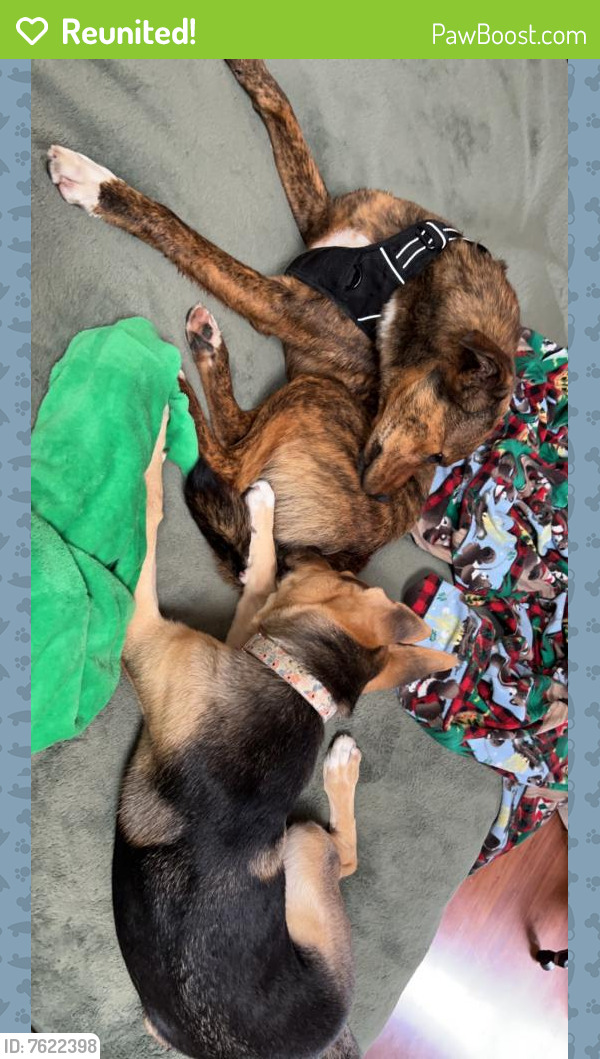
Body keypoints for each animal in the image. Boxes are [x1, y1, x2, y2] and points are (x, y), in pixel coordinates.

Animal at [48, 59, 520, 571]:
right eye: (436, 457)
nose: (375, 496)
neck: (412, 268)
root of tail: (336, 559)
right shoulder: (321, 218)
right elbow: (282, 110)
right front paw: (248, 67)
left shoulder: (281, 303)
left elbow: (182, 233)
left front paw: (97, 187)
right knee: (236, 435)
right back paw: (206, 352)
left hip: (316, 394)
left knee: (232, 457)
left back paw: (186, 384)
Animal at [117, 413, 452, 1059]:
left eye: (342, 573)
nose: (317, 548)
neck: (303, 680)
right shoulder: (246, 640)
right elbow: (259, 581)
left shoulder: (148, 635)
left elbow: (150, 514)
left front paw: (159, 441)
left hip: (302, 844)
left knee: (345, 856)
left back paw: (342, 765)